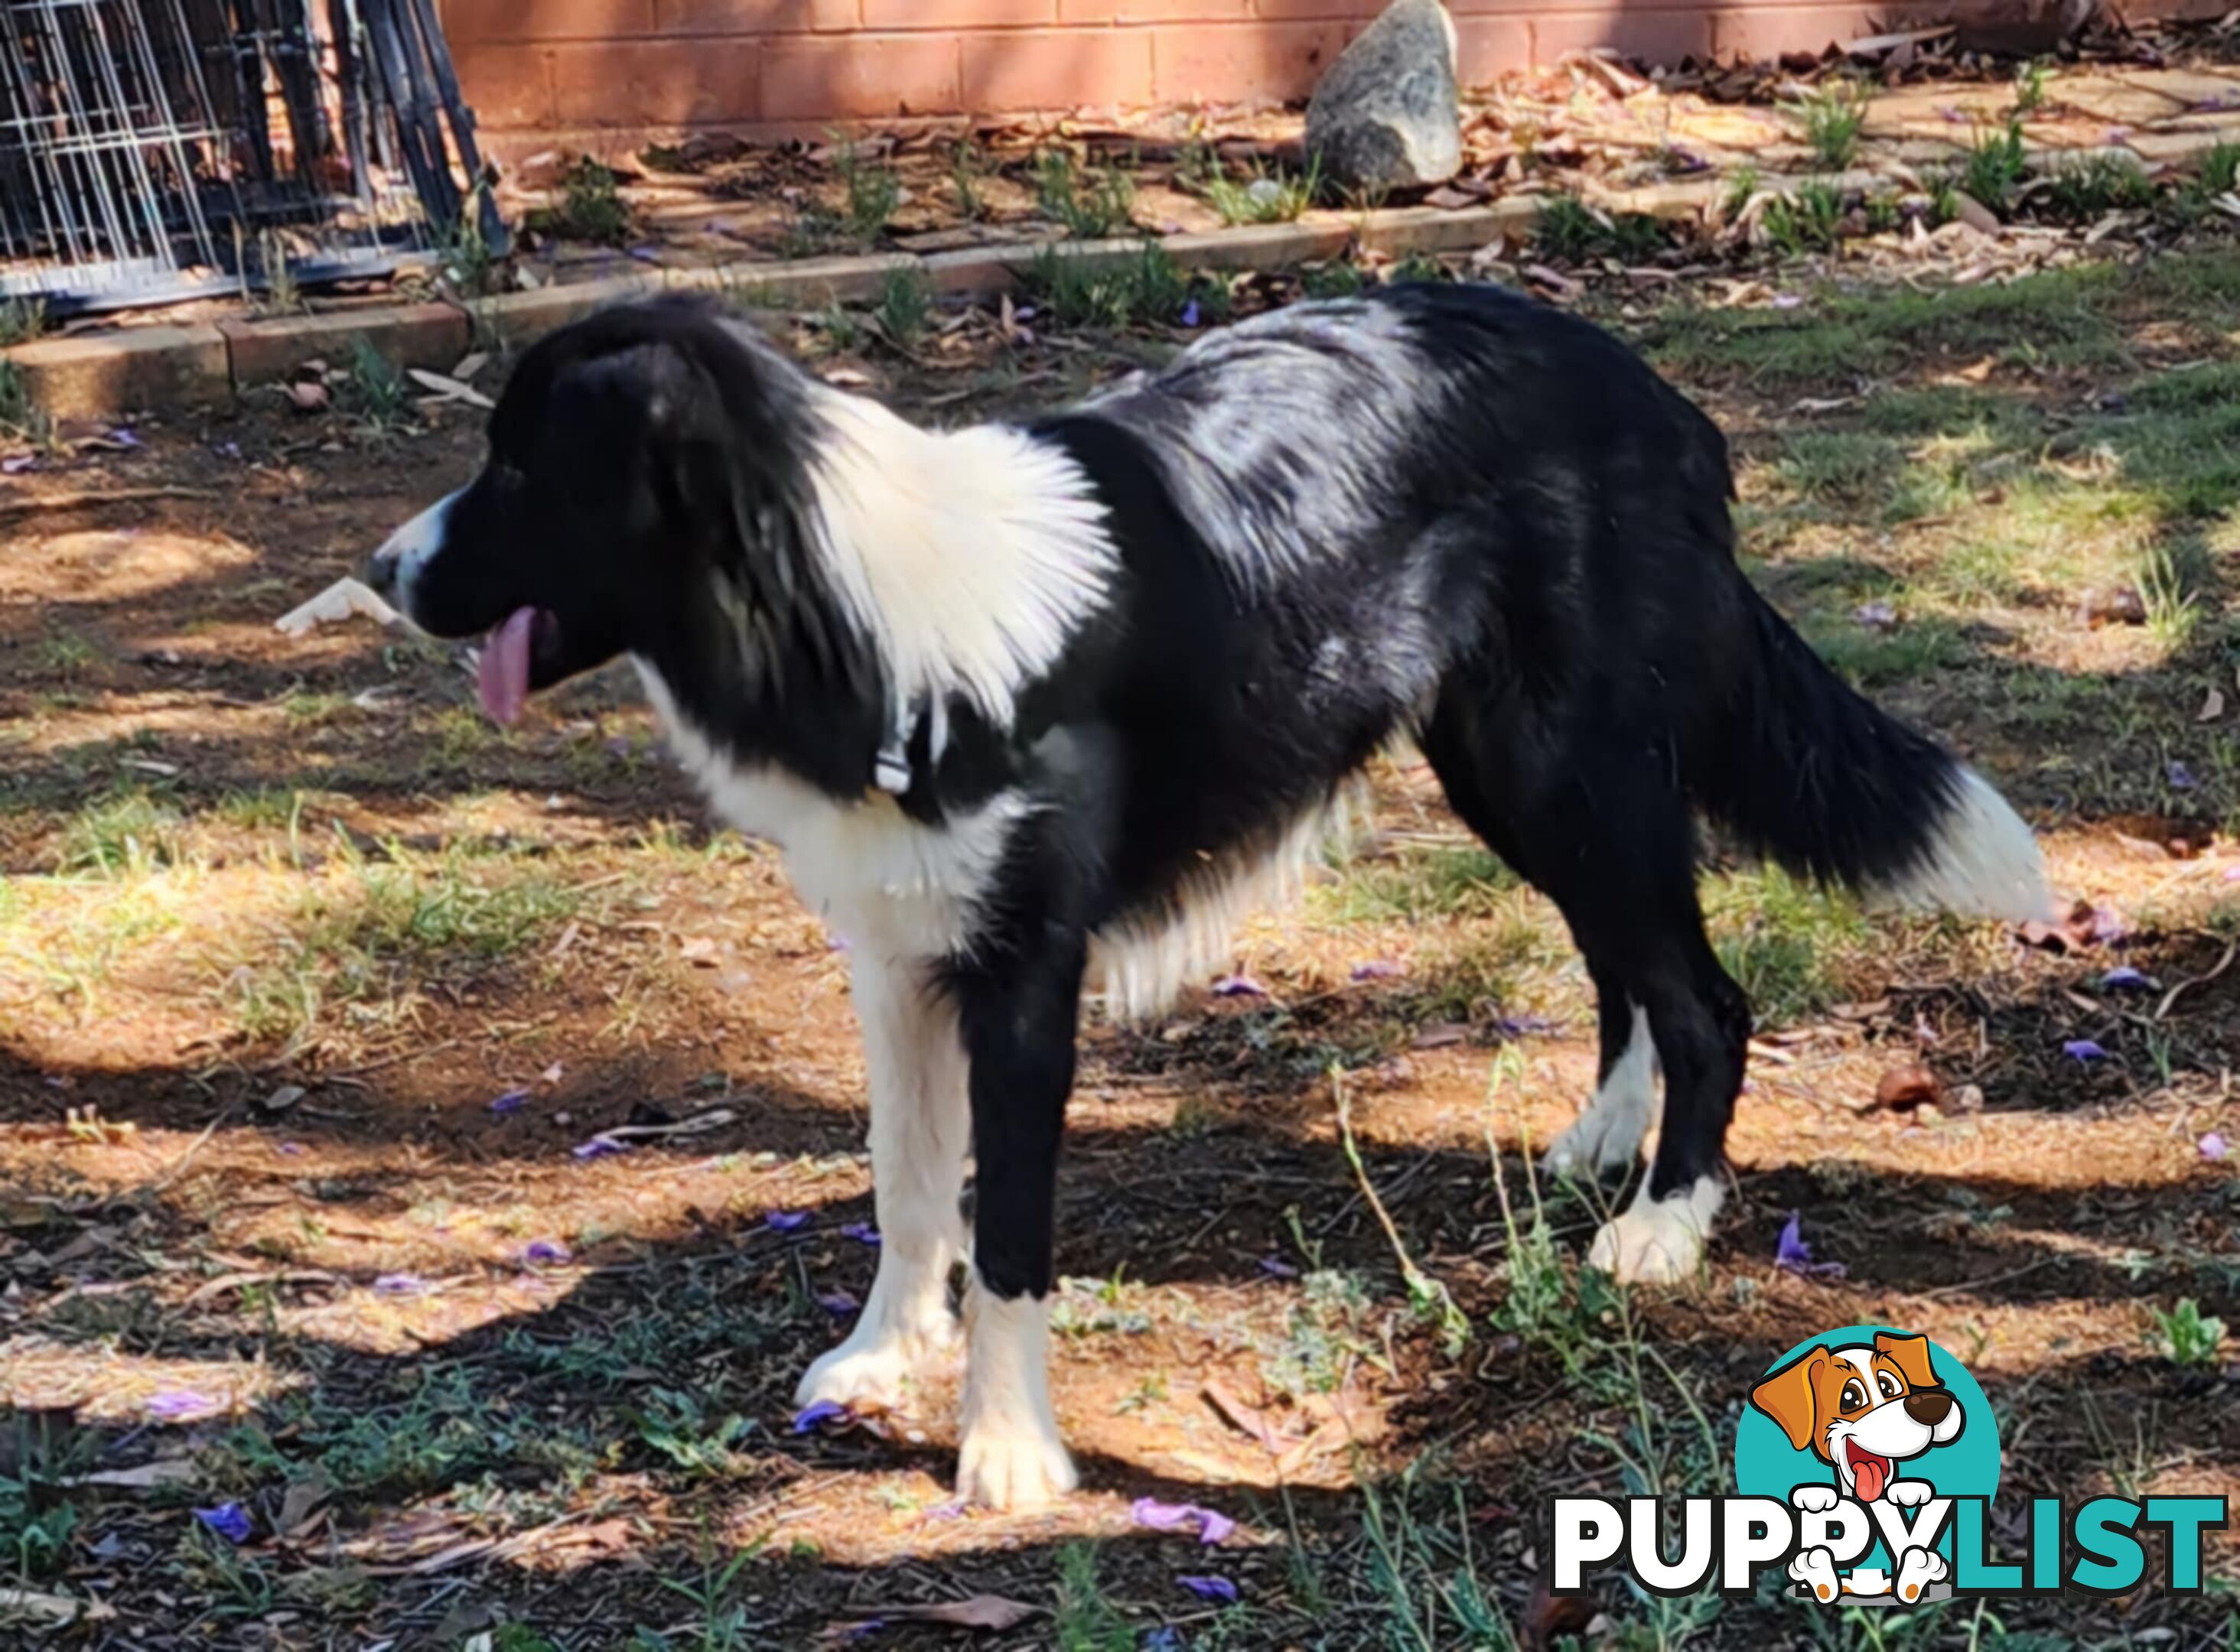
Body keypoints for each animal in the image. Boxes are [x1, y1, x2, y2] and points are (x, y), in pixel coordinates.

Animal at [363, 286, 2052, 1504]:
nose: (382, 573)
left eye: (520, 465)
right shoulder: (896, 956)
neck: (847, 609)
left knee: (1705, 990)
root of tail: (1652, 391)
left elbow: (1013, 1230)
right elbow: (907, 1182)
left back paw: (1666, 1222)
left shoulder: (1025, 981)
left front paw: (1007, 1451)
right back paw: (1604, 1145)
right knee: (1628, 965)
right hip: (1515, 775)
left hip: (1567, 766)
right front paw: (883, 1354)